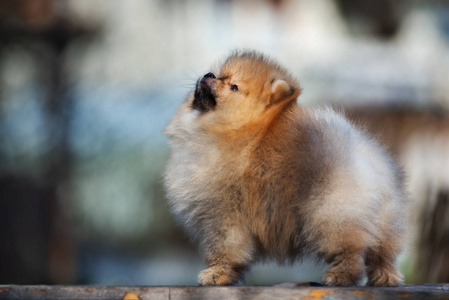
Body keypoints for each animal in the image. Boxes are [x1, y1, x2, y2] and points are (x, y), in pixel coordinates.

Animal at [164, 51, 406, 286]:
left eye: (233, 87)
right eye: (220, 74)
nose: (209, 75)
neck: (241, 131)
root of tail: (366, 158)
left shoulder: (224, 215)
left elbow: (225, 249)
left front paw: (217, 273)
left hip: (330, 212)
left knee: (351, 250)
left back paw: (341, 276)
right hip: (385, 219)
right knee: (383, 253)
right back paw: (385, 278)